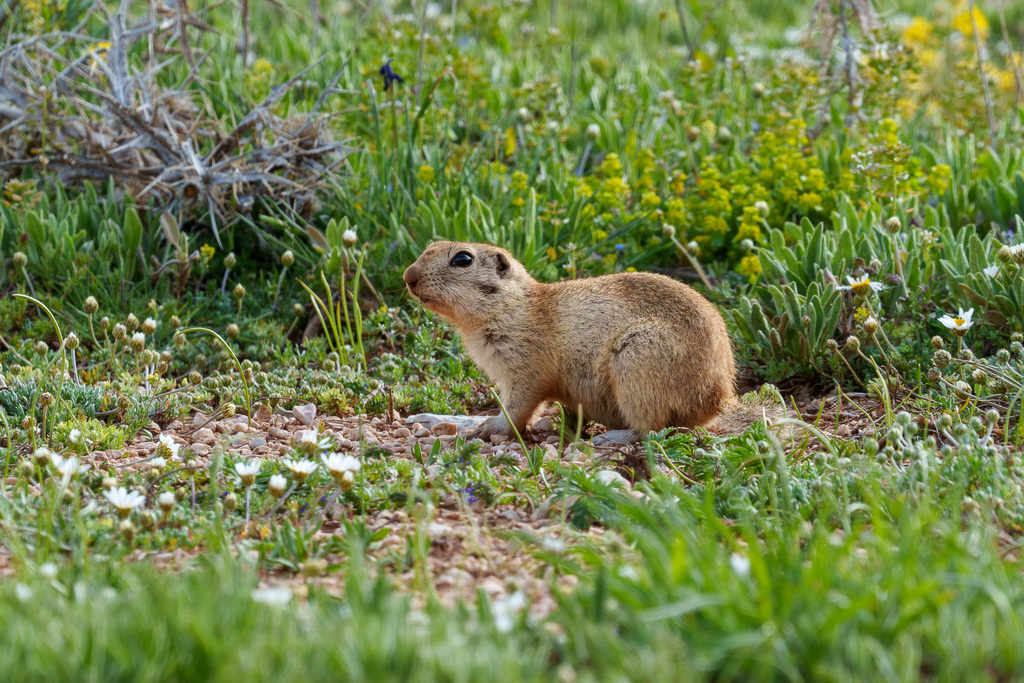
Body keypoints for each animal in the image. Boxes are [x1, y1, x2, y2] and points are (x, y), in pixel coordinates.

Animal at [403, 240, 779, 441]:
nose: (408, 275)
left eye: (463, 258)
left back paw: (611, 436)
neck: (516, 307)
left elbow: (519, 405)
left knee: (651, 429)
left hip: (637, 361)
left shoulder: (525, 366)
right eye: (428, 248)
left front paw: (488, 427)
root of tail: (720, 399)